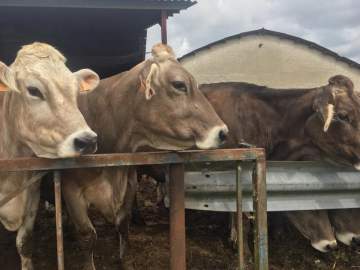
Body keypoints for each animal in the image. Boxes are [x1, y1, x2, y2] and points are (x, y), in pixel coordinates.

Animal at [60, 43, 226, 268]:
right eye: (179, 84)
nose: (223, 132)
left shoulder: (129, 181)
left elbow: (123, 225)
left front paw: (123, 262)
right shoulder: (71, 190)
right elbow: (88, 236)